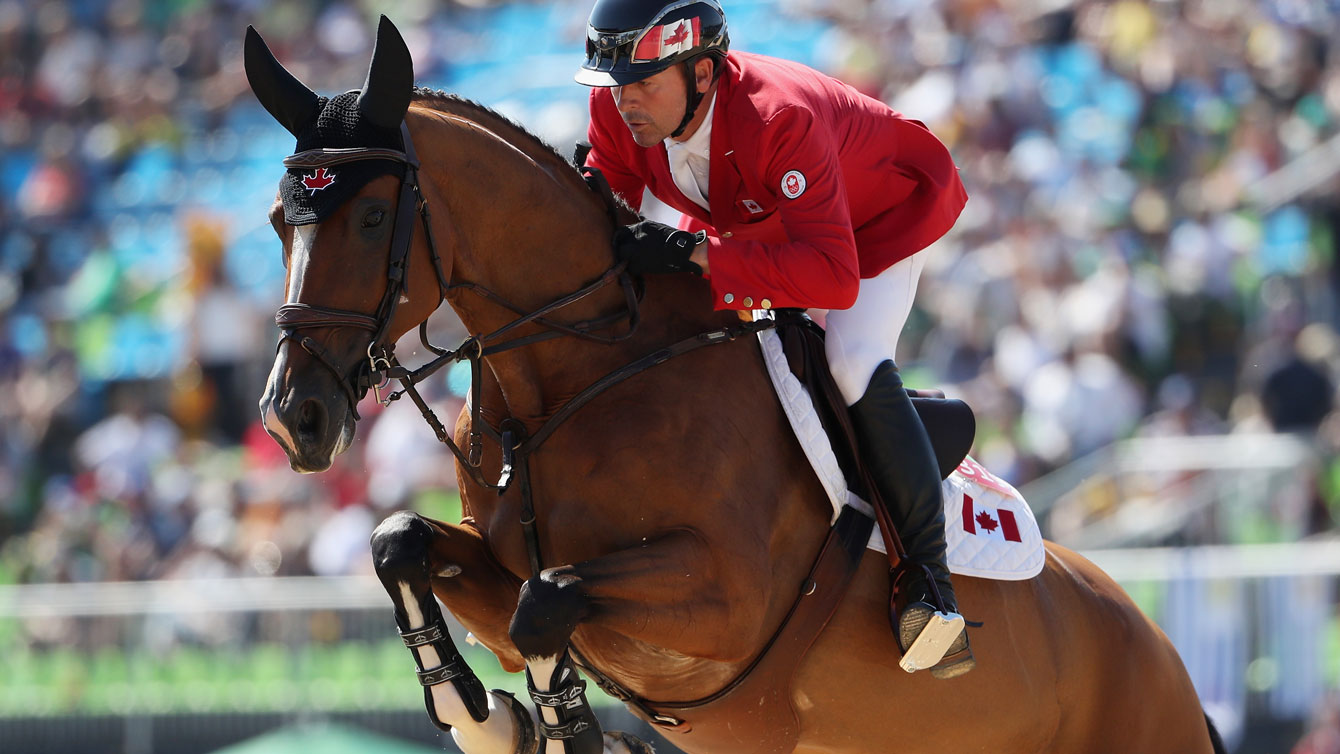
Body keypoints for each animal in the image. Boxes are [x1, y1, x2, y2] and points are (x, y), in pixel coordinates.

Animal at [249, 16, 1227, 754]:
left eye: (374, 217)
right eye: (275, 221)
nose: (295, 420)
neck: (571, 380)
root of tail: (1151, 639)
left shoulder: (724, 602)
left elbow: (547, 601)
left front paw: (564, 729)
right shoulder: (499, 561)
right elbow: (403, 544)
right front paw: (488, 719)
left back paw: (932, 615)